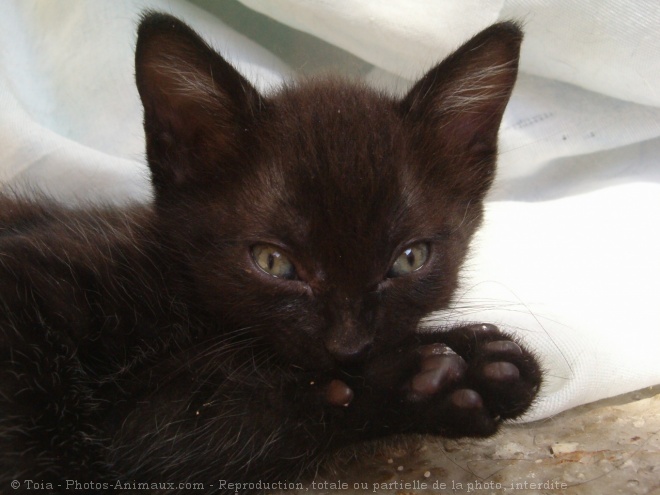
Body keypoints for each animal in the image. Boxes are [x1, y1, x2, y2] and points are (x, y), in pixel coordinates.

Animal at [0, 13, 540, 494]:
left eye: (409, 259)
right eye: (272, 262)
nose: (350, 346)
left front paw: (481, 361)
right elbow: (217, 424)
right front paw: (437, 372)